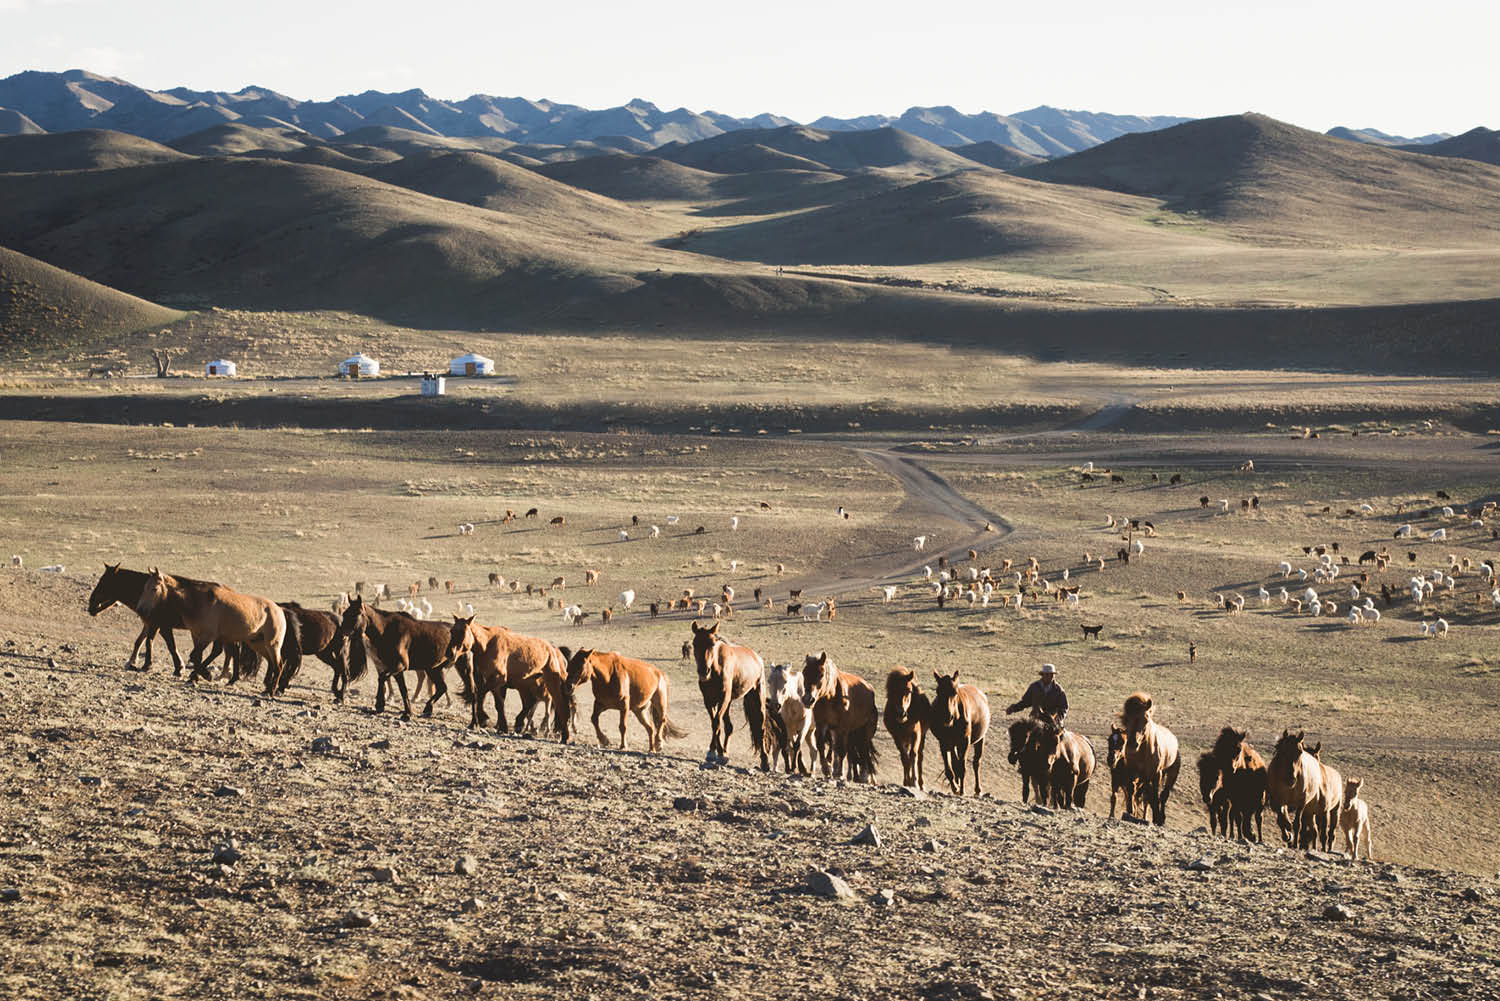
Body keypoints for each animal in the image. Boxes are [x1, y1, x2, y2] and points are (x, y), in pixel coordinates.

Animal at [138, 570, 289, 690]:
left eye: (154, 589)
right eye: (144, 587)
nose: (141, 609)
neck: (199, 601)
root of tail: (279, 609)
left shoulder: (208, 636)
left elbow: (195, 655)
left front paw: (205, 675)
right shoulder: (197, 635)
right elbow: (197, 656)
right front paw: (195, 676)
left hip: (271, 644)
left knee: (278, 665)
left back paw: (270, 691)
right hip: (257, 643)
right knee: (272, 663)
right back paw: (263, 686)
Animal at [558, 651, 687, 750]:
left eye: (579, 667)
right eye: (569, 666)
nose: (567, 687)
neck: (609, 675)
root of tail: (660, 673)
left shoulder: (624, 705)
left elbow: (622, 726)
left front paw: (623, 745)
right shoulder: (600, 703)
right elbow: (594, 719)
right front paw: (604, 740)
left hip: (659, 702)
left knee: (661, 720)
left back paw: (658, 743)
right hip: (639, 710)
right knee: (650, 727)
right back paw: (652, 749)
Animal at [687, 618, 768, 768]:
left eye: (712, 644)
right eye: (695, 644)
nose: (703, 671)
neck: (716, 668)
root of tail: (757, 657)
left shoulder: (723, 698)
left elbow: (716, 722)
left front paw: (717, 753)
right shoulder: (709, 700)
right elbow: (715, 723)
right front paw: (716, 752)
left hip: (757, 697)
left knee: (761, 727)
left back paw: (765, 761)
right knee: (729, 726)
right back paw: (725, 750)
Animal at [798, 654, 876, 786]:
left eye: (821, 674)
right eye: (804, 673)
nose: (808, 699)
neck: (830, 696)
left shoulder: (843, 728)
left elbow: (841, 751)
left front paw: (839, 773)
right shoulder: (822, 725)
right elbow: (821, 746)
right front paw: (827, 769)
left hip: (864, 732)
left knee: (863, 750)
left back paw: (863, 776)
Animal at [1122, 693, 1176, 828]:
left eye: (1146, 719)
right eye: (1126, 720)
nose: (1132, 745)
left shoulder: (1156, 774)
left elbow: (1156, 796)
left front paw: (1157, 818)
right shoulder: (1133, 771)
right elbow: (1132, 789)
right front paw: (1130, 811)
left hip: (1171, 774)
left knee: (1164, 795)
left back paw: (1161, 817)